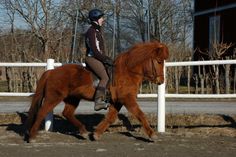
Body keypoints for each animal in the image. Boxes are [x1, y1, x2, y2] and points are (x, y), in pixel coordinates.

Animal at [24, 41, 169, 142]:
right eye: (159, 61)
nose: (161, 81)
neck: (127, 72)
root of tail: (51, 72)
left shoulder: (117, 101)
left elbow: (110, 118)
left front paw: (96, 134)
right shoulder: (128, 99)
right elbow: (140, 114)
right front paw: (152, 135)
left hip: (73, 99)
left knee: (67, 113)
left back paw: (83, 132)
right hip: (53, 98)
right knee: (42, 112)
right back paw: (32, 137)